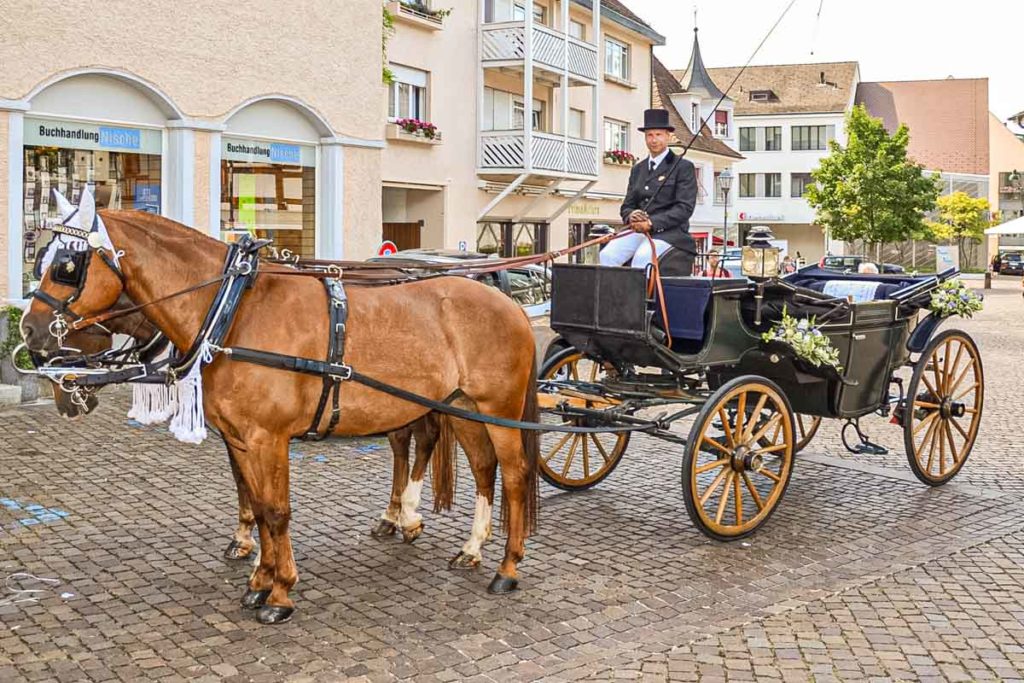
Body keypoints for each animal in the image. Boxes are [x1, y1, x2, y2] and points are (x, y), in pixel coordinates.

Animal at [19, 208, 540, 626]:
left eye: (67, 266)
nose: (29, 331)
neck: (233, 310)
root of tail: (509, 301)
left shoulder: (268, 437)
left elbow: (276, 510)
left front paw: (280, 591)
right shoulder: (241, 438)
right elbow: (257, 501)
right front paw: (259, 580)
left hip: (498, 409)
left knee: (514, 474)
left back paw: (506, 567)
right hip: (463, 407)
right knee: (482, 467)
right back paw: (469, 547)